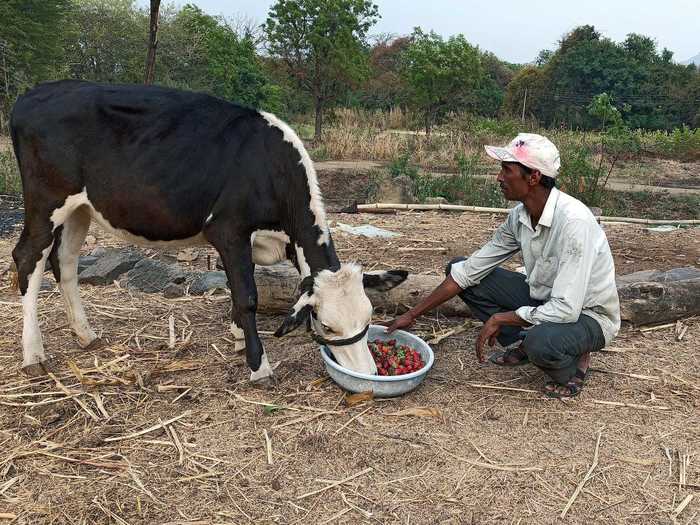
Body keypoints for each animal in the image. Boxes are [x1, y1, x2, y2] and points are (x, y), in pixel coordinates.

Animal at [8, 82, 408, 382]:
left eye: (369, 317)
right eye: (326, 326)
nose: (369, 373)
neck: (269, 167)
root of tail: (33, 93)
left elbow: (237, 287)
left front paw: (237, 337)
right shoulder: (227, 229)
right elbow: (247, 296)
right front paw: (258, 365)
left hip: (81, 208)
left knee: (65, 261)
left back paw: (86, 335)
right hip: (46, 201)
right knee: (27, 258)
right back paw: (34, 354)